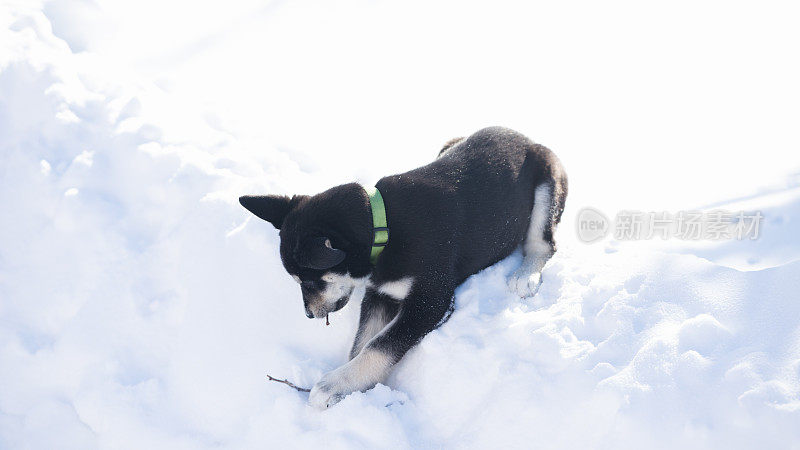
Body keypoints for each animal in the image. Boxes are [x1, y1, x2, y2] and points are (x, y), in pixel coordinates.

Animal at [241, 125, 564, 408]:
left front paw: (333, 386)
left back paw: (525, 276)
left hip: (548, 183)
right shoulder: (379, 294)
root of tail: (523, 137)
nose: (309, 315)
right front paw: (355, 389)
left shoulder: (432, 300)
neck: (383, 227)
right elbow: (362, 343)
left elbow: (380, 345)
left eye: (310, 282)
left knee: (542, 244)